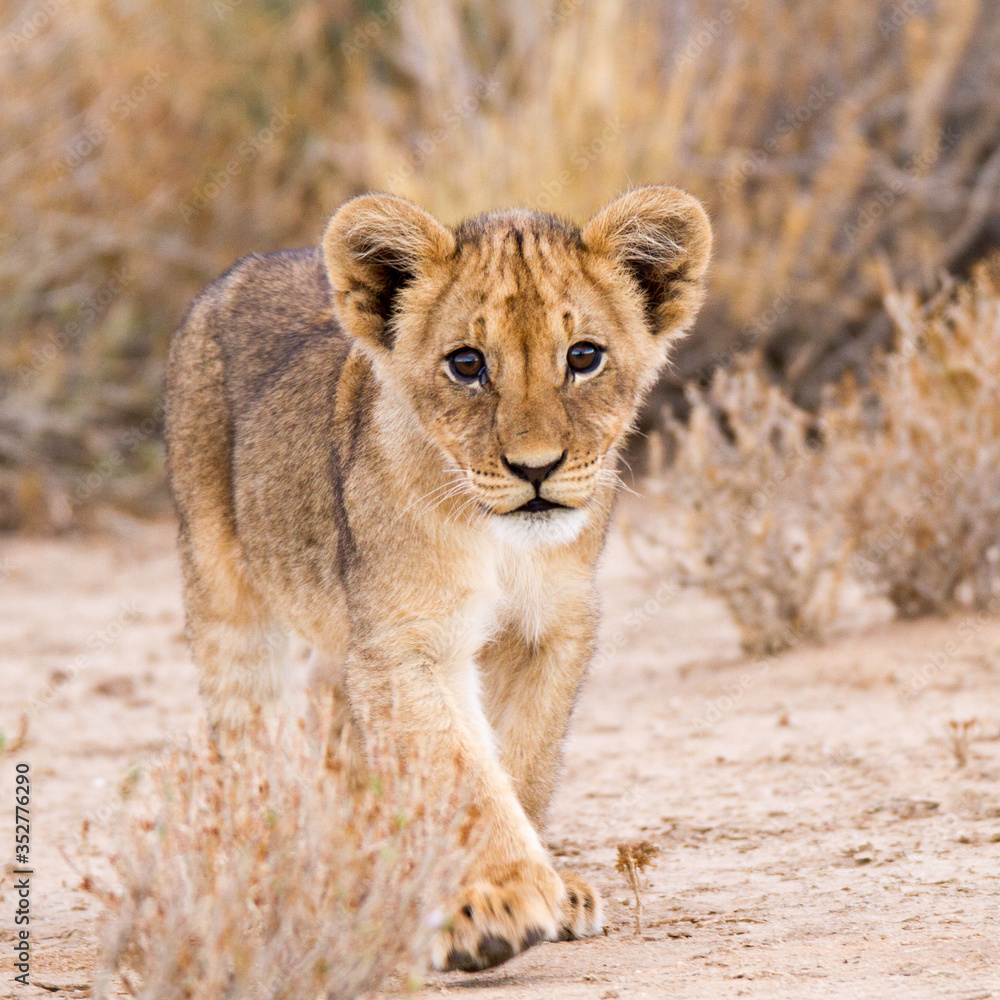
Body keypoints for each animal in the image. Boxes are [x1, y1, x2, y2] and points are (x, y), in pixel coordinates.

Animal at [164, 186, 711, 972]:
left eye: (583, 357)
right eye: (466, 363)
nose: (536, 468)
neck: (503, 545)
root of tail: (240, 270)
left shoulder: (552, 629)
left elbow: (520, 760)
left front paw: (546, 890)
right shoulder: (405, 641)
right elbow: (458, 768)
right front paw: (494, 903)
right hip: (225, 595)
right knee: (250, 739)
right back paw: (271, 874)